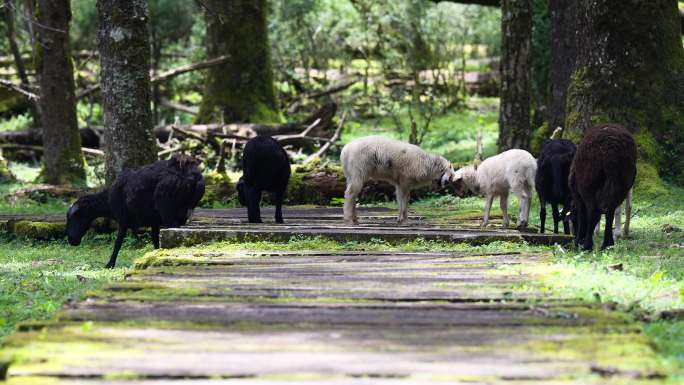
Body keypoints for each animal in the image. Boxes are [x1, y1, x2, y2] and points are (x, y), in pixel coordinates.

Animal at [66, 154, 206, 268]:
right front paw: (154, 256)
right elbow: (155, 240)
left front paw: (110, 264)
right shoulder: (154, 221)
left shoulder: (123, 219)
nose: (71, 240)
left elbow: (118, 243)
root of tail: (192, 175)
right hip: (183, 211)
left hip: (167, 208)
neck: (107, 202)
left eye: (76, 215)